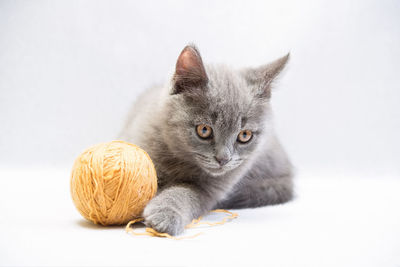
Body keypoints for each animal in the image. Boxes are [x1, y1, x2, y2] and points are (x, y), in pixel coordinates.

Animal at [119, 45, 294, 236]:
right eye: (204, 130)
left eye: (244, 135)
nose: (223, 159)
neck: (179, 159)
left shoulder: (211, 190)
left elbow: (185, 193)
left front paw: (164, 215)